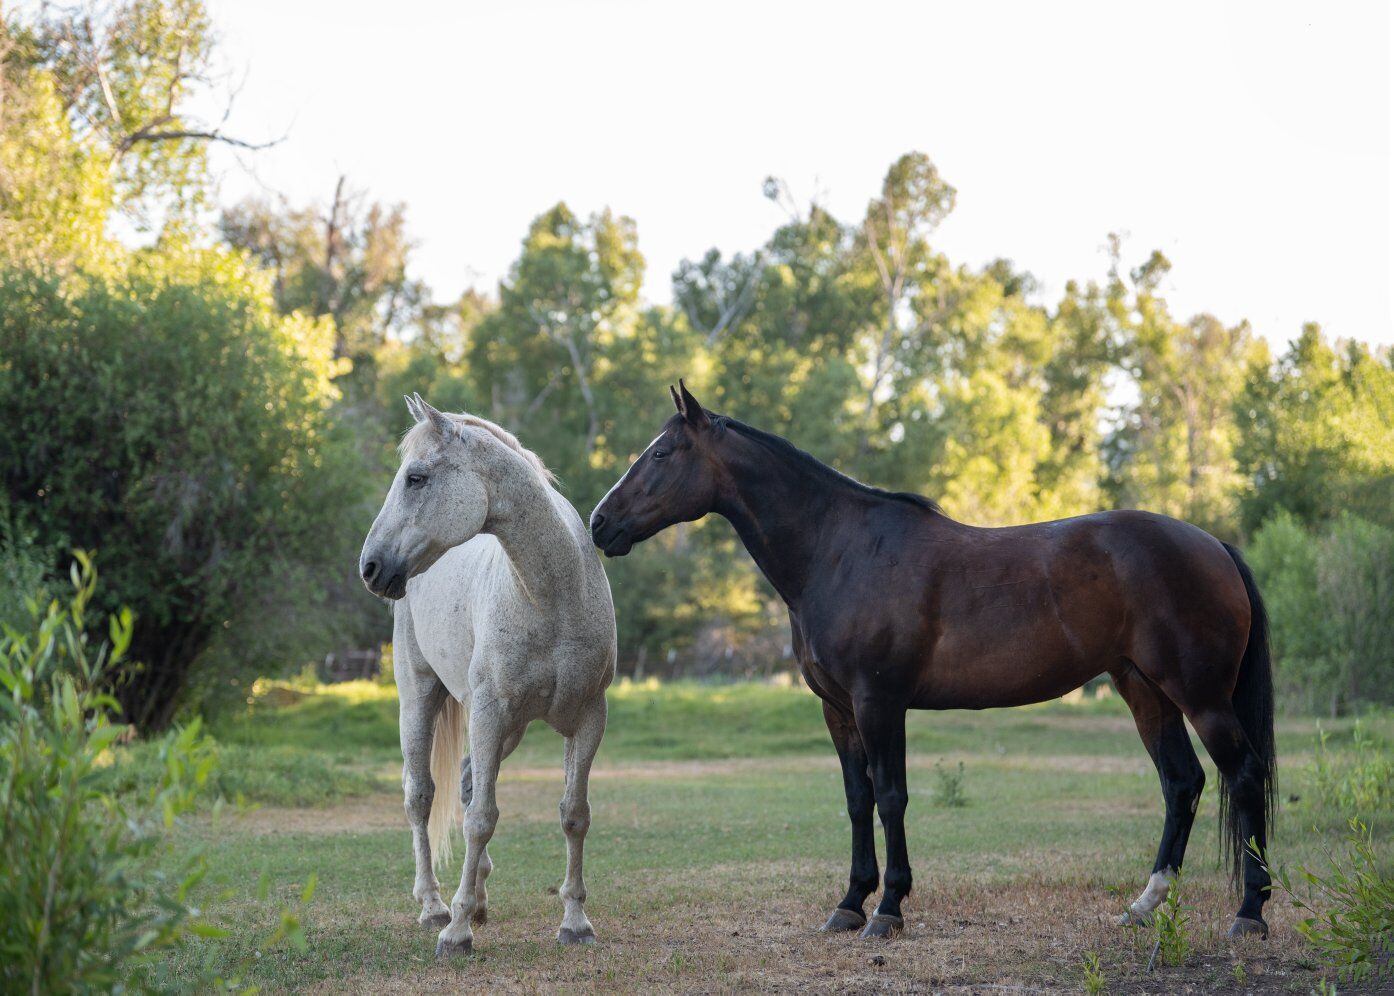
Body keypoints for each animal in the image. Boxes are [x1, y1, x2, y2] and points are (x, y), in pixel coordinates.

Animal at [360, 395, 617, 957]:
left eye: (415, 477)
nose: (369, 567)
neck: (553, 596)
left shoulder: (588, 718)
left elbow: (574, 814)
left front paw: (575, 922)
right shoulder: (491, 713)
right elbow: (480, 819)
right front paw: (456, 934)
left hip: (505, 728)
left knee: (466, 783)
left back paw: (474, 898)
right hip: (422, 701)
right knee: (421, 797)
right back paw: (436, 906)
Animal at [590, 381, 1275, 941]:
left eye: (660, 454)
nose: (600, 523)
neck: (837, 552)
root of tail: (1214, 544)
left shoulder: (879, 703)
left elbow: (891, 796)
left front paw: (888, 909)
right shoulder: (838, 710)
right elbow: (857, 798)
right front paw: (849, 904)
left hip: (1201, 697)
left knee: (1243, 777)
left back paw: (1250, 913)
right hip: (1144, 690)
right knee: (1182, 783)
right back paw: (1144, 905)